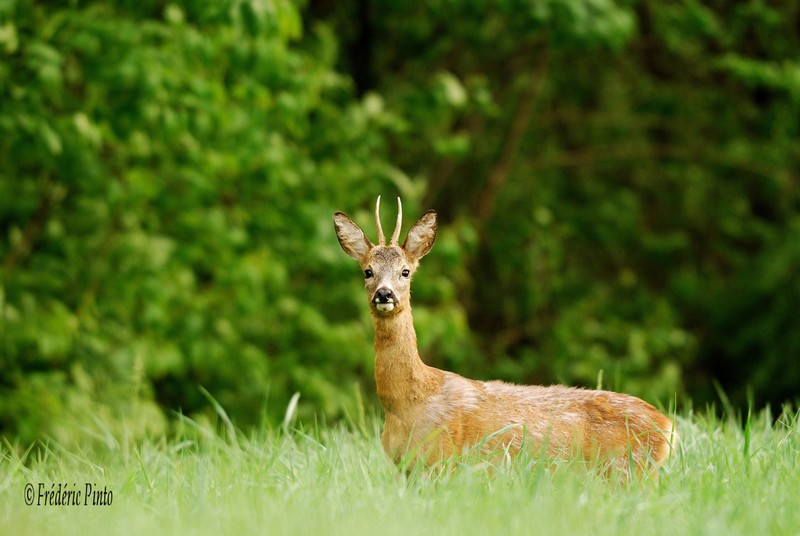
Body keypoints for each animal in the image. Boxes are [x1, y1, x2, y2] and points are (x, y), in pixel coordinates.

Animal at [332, 196, 676, 478]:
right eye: (367, 271)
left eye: (405, 271)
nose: (384, 294)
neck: (407, 402)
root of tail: (667, 427)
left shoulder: (439, 461)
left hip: (626, 469)